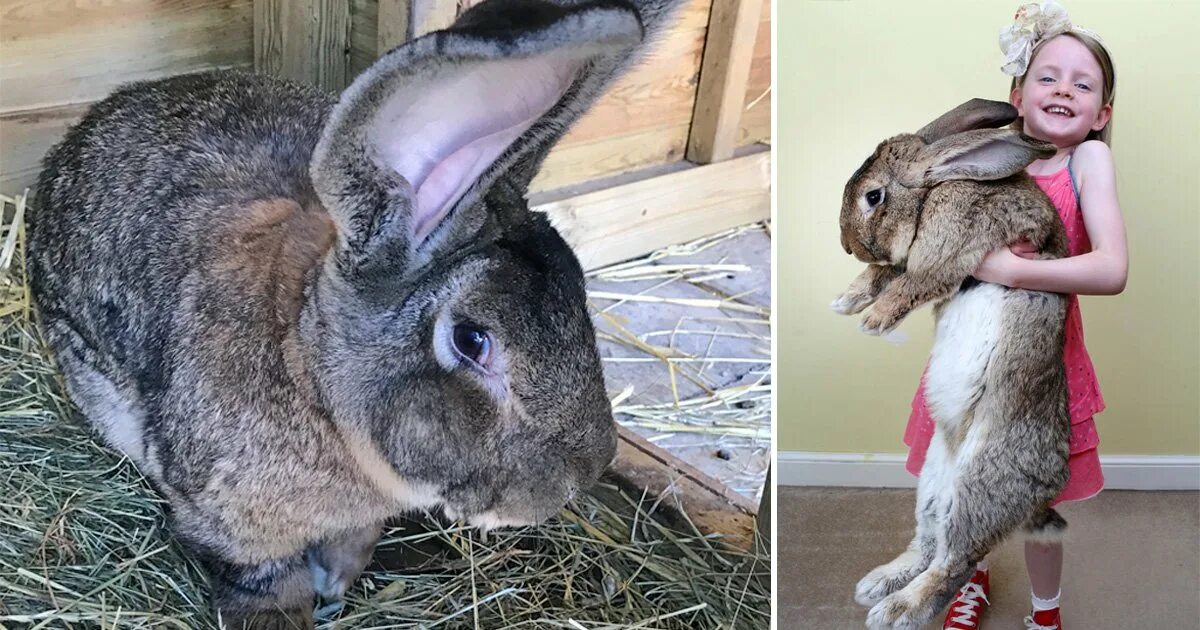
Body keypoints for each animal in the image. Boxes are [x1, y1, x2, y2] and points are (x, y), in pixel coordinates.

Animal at [25, 2, 686, 624]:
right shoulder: (231, 525)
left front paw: (335, 588)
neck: (306, 369)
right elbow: (263, 586)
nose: (584, 474)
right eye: (472, 340)